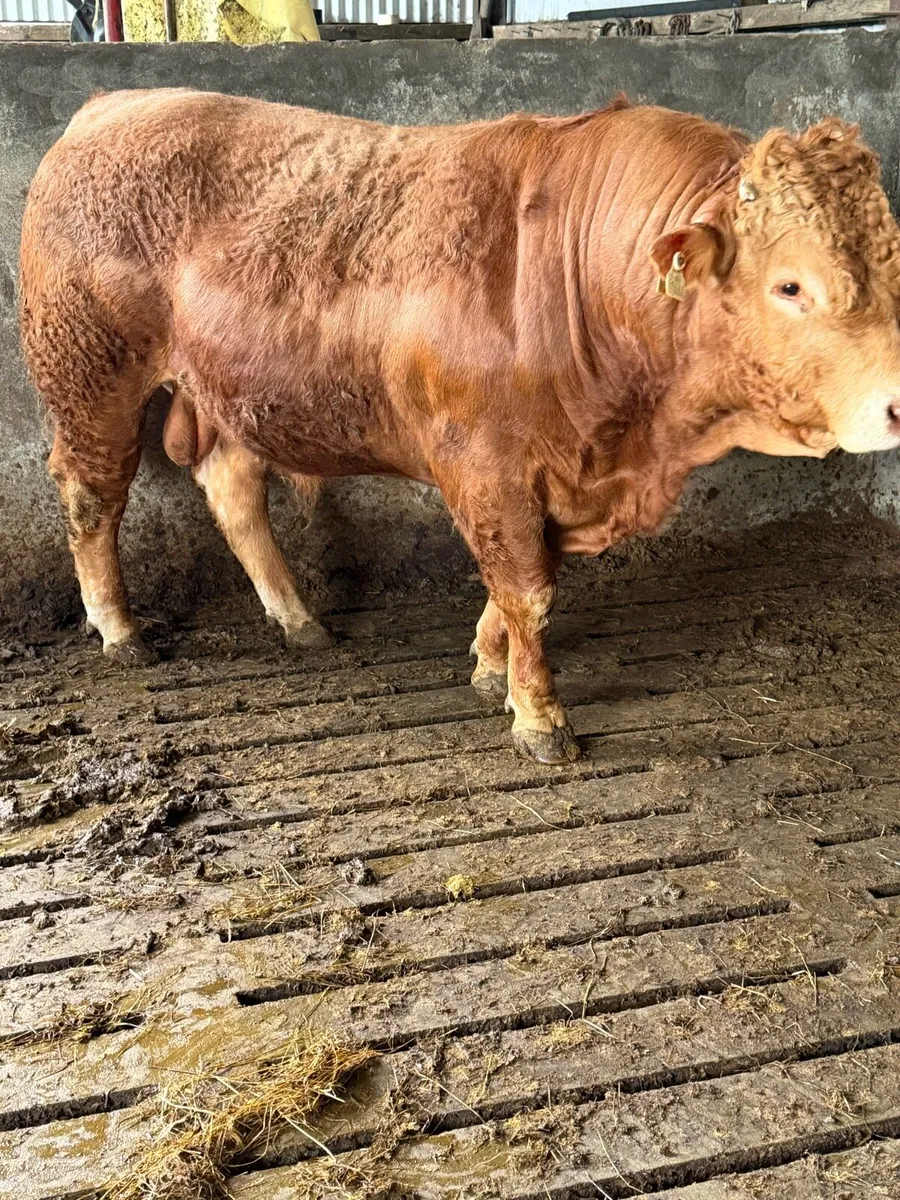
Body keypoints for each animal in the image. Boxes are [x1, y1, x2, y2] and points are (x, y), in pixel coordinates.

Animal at [19, 89, 900, 764]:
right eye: (790, 285)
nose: (896, 401)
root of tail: (112, 104)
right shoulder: (486, 464)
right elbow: (529, 589)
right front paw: (539, 717)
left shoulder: (554, 472)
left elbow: (519, 582)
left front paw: (487, 663)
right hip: (89, 374)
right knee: (92, 496)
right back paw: (120, 629)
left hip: (235, 392)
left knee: (233, 491)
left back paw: (300, 621)